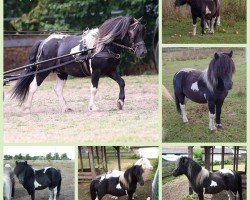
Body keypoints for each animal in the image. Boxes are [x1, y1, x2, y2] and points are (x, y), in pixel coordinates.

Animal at [11, 16, 146, 113]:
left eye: (142, 32)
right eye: (132, 33)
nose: (143, 52)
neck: (102, 46)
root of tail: (44, 42)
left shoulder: (110, 70)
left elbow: (122, 82)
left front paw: (120, 102)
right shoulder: (96, 71)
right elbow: (94, 89)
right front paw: (93, 107)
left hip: (61, 73)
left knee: (58, 89)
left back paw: (65, 108)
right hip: (43, 70)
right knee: (33, 86)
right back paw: (27, 108)